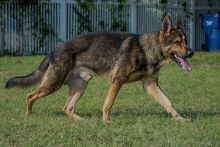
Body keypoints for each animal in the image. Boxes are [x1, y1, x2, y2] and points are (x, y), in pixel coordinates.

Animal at [5, 15, 194, 121]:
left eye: (186, 41)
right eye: (178, 43)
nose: (191, 52)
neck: (148, 49)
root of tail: (54, 50)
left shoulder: (150, 85)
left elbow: (168, 103)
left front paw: (180, 119)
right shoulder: (117, 80)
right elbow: (108, 103)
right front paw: (106, 121)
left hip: (80, 86)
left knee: (67, 107)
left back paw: (81, 120)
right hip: (53, 84)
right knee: (30, 96)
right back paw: (29, 116)